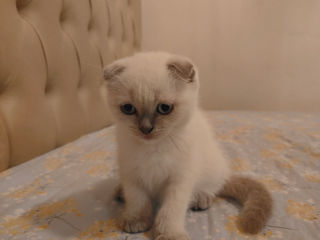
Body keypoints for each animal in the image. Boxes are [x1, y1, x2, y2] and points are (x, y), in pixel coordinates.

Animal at [104, 52, 272, 240]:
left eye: (164, 108)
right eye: (128, 108)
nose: (146, 129)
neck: (153, 148)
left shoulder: (179, 179)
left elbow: (170, 211)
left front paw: (169, 234)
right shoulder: (132, 174)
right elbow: (137, 201)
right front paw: (136, 221)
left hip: (211, 169)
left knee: (214, 188)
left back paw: (201, 199)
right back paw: (120, 192)